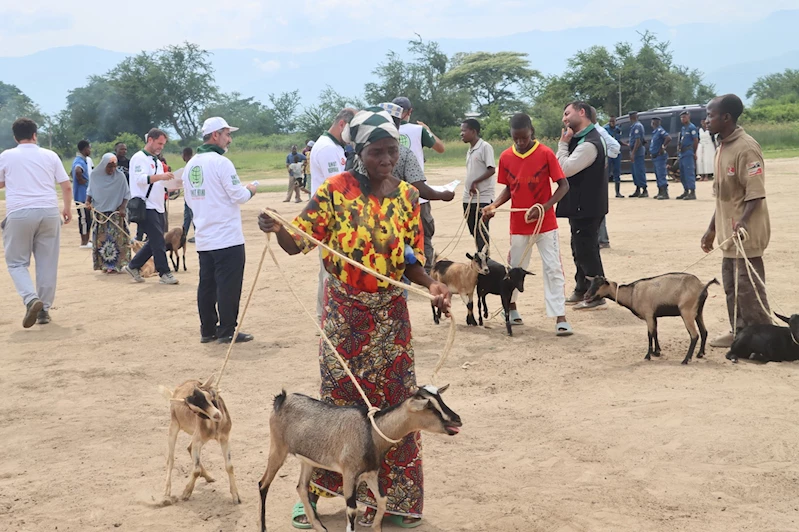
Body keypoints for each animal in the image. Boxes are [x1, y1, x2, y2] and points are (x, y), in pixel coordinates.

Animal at [159, 374, 239, 502]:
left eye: (208, 396)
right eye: (194, 409)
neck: (214, 426)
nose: (217, 415)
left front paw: (236, 496)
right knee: (171, 459)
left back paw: (209, 477)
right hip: (174, 426)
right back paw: (167, 490)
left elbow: (229, 466)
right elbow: (195, 470)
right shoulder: (198, 440)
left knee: (189, 448)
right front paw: (186, 493)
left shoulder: (224, 439)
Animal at [260, 386, 462, 532]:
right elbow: (352, 510)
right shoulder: (349, 474)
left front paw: (376, 527)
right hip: (278, 448)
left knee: (301, 487)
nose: (457, 420)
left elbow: (382, 500)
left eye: (441, 399)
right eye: (430, 407)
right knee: (263, 484)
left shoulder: (370, 474)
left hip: (307, 460)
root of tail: (282, 398)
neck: (371, 431)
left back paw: (319, 527)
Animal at [584, 274, 720, 366]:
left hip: (687, 312)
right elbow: (655, 332)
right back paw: (700, 354)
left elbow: (649, 334)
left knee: (694, 335)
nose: (586, 296)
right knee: (704, 331)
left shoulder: (648, 315)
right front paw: (657, 352)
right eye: (591, 283)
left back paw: (686, 360)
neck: (632, 294)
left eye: (599, 284)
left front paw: (648, 355)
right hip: (698, 312)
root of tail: (702, 286)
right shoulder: (653, 316)